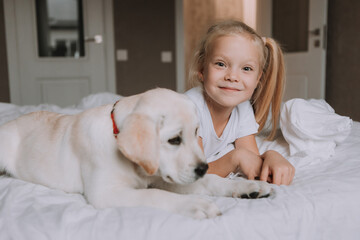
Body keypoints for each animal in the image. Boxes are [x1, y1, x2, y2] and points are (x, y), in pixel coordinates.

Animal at [0, 88, 270, 219]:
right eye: (174, 140)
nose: (203, 168)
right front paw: (195, 204)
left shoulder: (162, 176)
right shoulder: (106, 194)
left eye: (196, 132)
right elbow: (156, 196)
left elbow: (213, 182)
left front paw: (247, 186)